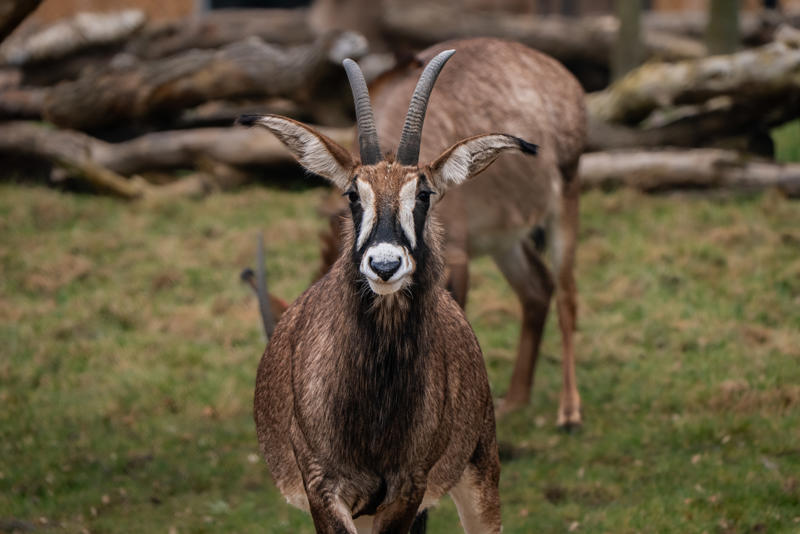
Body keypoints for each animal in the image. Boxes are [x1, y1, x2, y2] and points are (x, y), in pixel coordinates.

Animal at [240, 50, 538, 533]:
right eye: (351, 194)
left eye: (424, 194)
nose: (384, 265)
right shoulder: (324, 488)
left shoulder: (409, 490)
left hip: (478, 476)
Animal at [315, 38, 586, 427]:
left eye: (424, 195)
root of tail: (561, 75)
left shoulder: (455, 256)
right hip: (505, 240)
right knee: (536, 289)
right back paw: (515, 400)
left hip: (566, 198)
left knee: (566, 297)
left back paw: (569, 411)